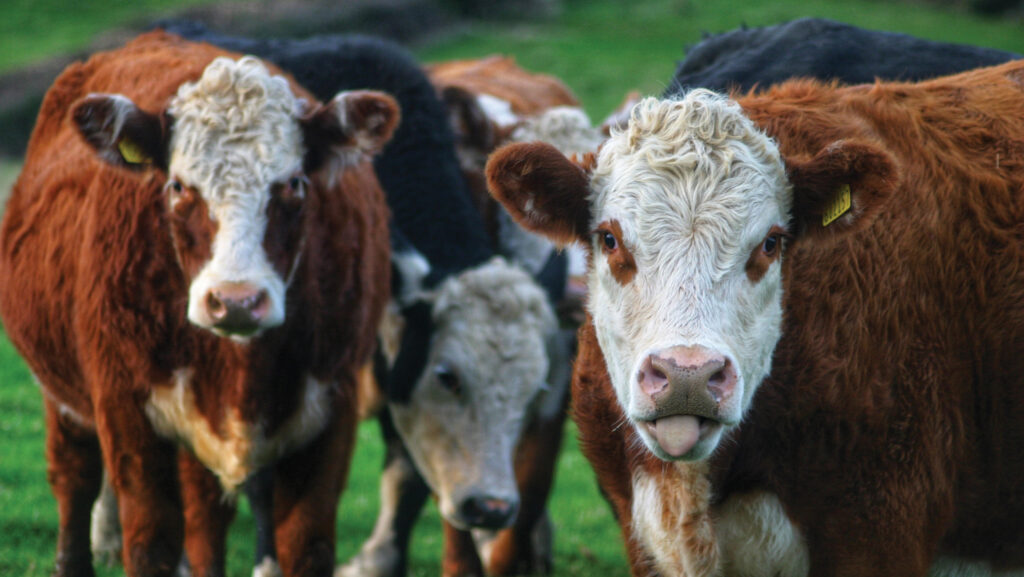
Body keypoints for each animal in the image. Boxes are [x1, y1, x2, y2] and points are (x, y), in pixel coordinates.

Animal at [0, 31, 397, 577]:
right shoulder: (126, 412)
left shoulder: (332, 412)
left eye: (294, 183)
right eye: (178, 186)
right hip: (62, 395)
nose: (236, 301)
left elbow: (304, 544)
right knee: (73, 476)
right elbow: (149, 542)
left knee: (205, 518)